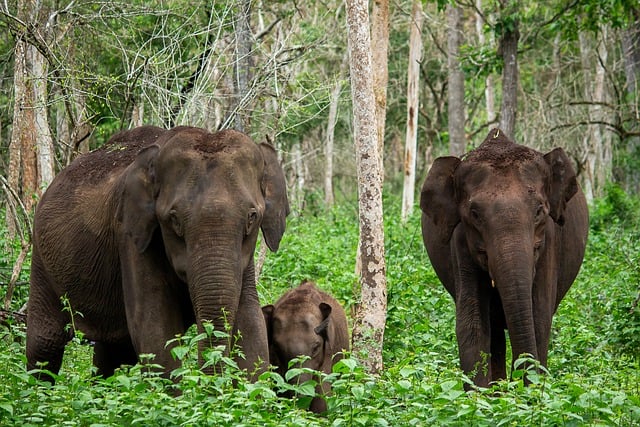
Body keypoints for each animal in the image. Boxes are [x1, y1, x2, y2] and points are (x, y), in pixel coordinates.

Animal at [27, 125, 290, 382]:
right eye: (174, 219)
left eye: (252, 217)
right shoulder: (132, 237)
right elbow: (154, 325)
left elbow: (251, 322)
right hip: (41, 257)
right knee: (45, 342)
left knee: (113, 352)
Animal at [420, 128, 592, 388]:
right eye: (474, 213)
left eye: (539, 210)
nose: (520, 383)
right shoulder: (460, 242)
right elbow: (471, 322)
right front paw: (480, 397)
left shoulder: (549, 244)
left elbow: (539, 317)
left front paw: (529, 393)